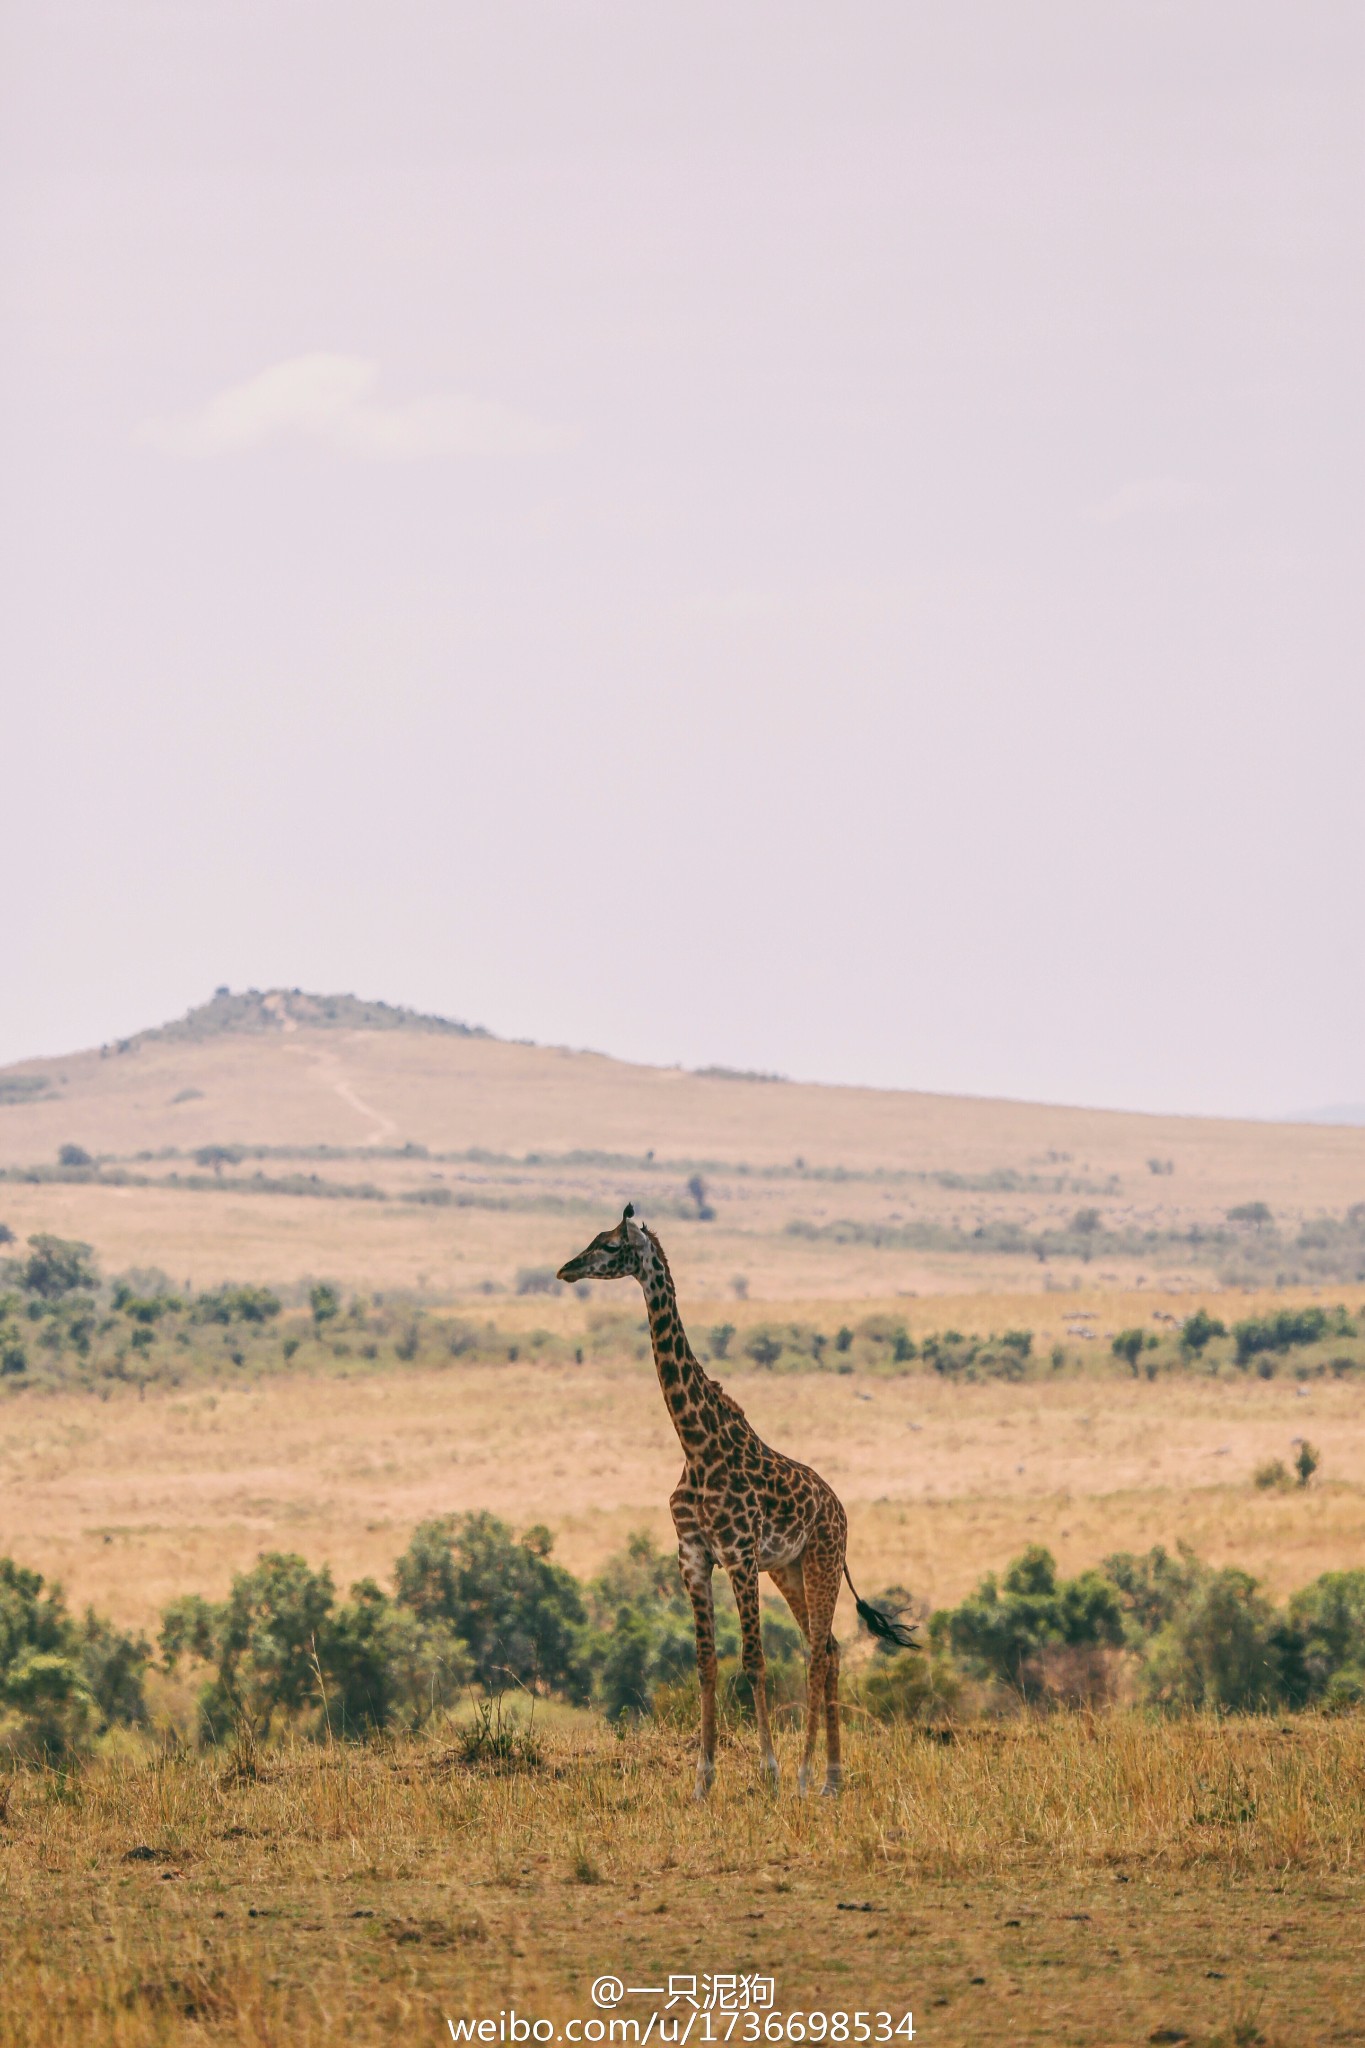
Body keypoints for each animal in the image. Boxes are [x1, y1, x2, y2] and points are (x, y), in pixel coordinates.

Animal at [556, 1204, 916, 1802]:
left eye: (608, 1245)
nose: (566, 1269)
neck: (696, 1444)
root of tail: (841, 1511)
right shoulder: (694, 1556)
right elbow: (706, 1662)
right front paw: (702, 1781)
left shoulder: (740, 1555)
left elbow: (754, 1660)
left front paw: (768, 1772)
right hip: (789, 1569)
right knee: (831, 1648)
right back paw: (832, 1778)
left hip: (819, 1561)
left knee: (817, 1653)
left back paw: (804, 1776)